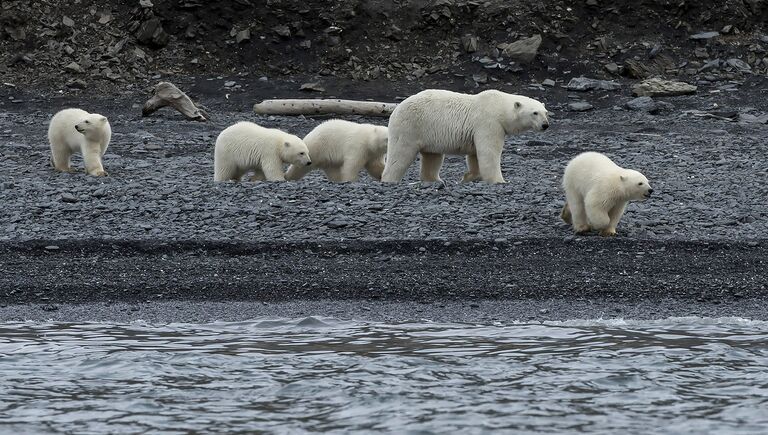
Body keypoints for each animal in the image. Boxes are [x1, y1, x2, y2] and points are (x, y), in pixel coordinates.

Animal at [380, 88, 548, 184]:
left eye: (546, 112)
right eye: (535, 113)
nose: (545, 125)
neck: (499, 107)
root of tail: (396, 108)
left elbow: (475, 156)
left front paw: (469, 177)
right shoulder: (489, 122)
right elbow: (489, 152)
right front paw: (500, 181)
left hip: (428, 132)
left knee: (432, 156)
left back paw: (435, 180)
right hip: (410, 126)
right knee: (400, 154)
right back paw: (389, 180)